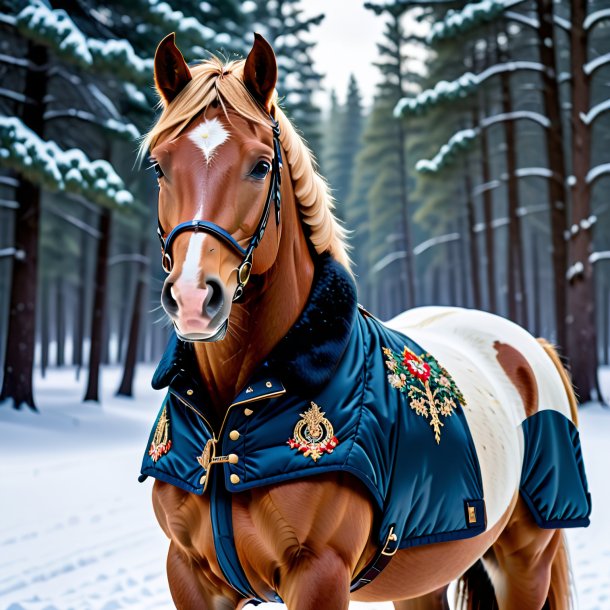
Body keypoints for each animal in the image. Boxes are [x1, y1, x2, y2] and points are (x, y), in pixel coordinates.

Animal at [139, 34, 588, 608]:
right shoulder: (189, 574)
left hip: (525, 560)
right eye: (160, 167)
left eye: (260, 166)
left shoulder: (319, 575)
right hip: (423, 577)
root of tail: (531, 347)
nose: (196, 297)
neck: (237, 409)